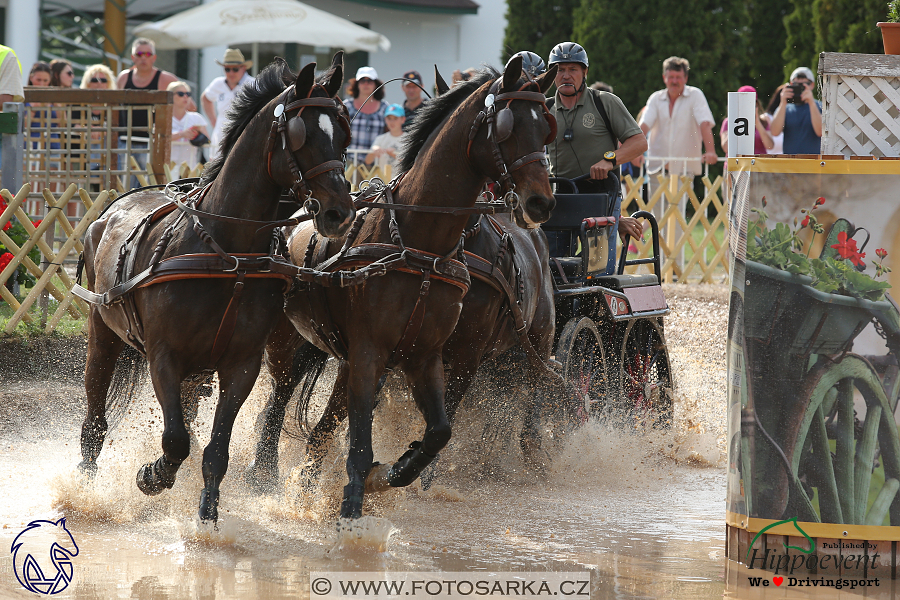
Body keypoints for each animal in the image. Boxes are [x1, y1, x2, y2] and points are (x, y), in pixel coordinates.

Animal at [74, 57, 356, 524]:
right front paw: (153, 475)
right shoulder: (164, 355)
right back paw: (85, 478)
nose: (340, 213)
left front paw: (207, 512)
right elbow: (175, 439)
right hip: (103, 333)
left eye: (344, 131)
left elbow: (214, 449)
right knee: (96, 410)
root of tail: (110, 209)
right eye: (301, 135)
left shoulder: (241, 364)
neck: (227, 252)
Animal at [248, 56, 556, 516]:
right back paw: (263, 473)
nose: (541, 201)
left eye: (546, 127)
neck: (420, 243)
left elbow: (440, 430)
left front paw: (402, 473)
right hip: (290, 342)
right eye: (507, 126)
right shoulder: (373, 351)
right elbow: (364, 439)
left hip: (535, 347)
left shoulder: (442, 356)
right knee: (279, 401)